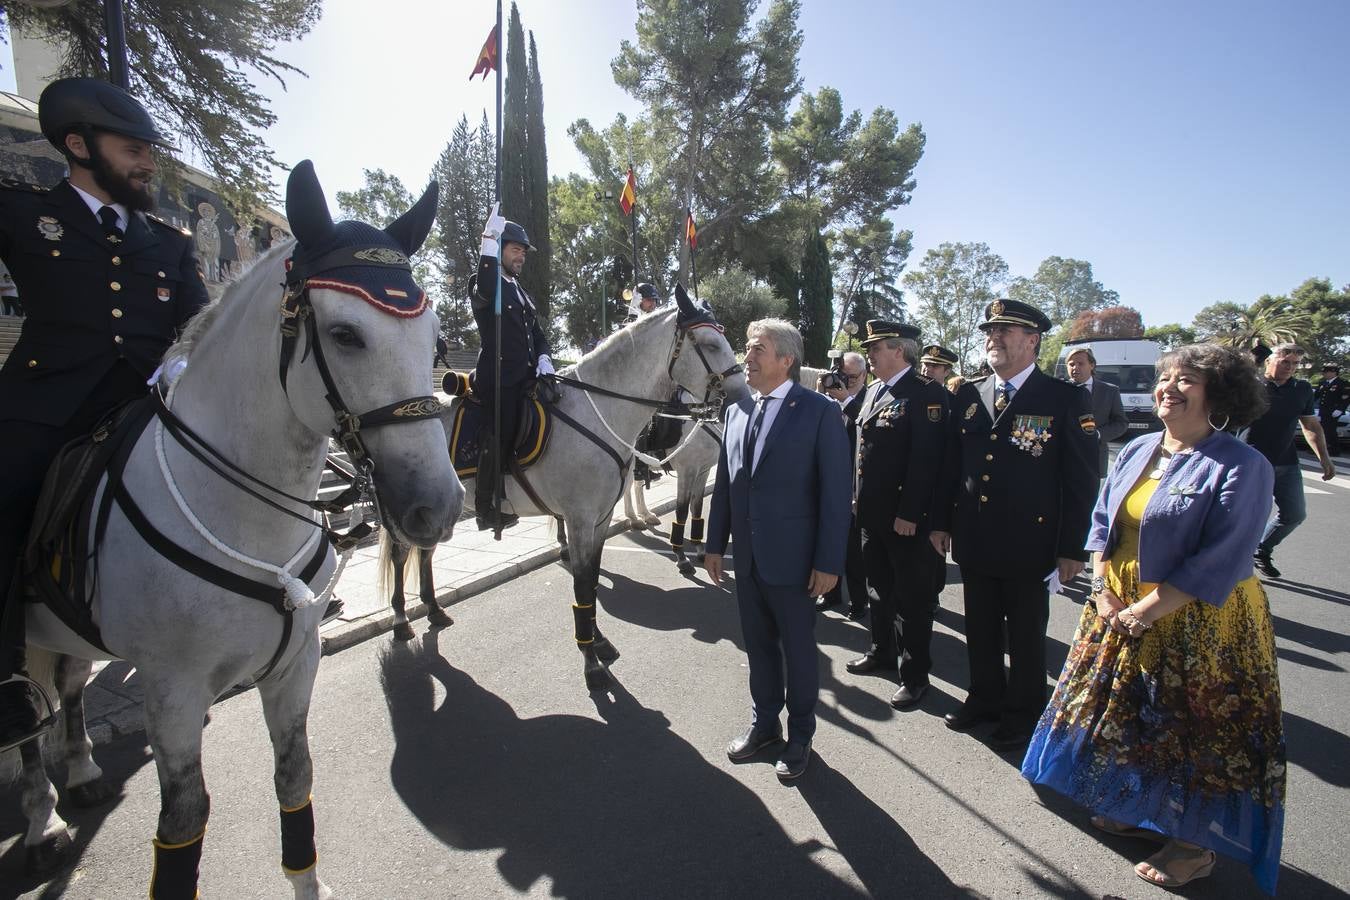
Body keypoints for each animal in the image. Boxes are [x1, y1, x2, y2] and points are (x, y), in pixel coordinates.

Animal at [14, 163, 464, 900]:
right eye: (346, 334)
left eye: (437, 341)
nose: (440, 504)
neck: (253, 521)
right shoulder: (172, 691)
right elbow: (184, 818)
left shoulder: (294, 666)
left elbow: (295, 775)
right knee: (29, 720)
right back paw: (40, 821)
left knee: (71, 685)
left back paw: (79, 769)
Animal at [380, 290, 745, 690]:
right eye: (711, 343)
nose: (742, 394)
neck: (599, 411)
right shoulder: (583, 518)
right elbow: (584, 585)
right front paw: (591, 662)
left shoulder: (601, 519)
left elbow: (593, 582)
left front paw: (598, 641)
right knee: (401, 554)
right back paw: (401, 620)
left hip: (436, 508)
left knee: (425, 553)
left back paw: (433, 608)